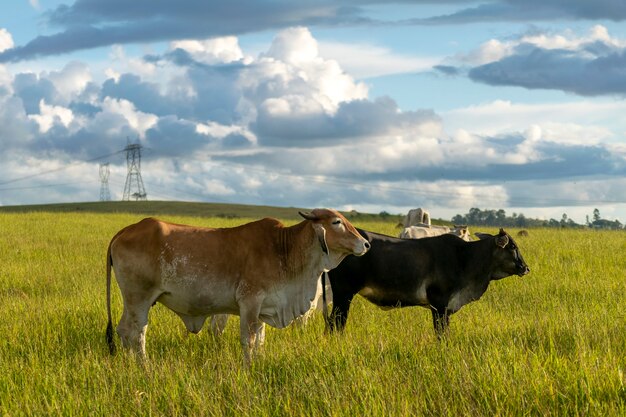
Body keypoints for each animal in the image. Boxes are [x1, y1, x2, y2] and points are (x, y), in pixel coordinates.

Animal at [326, 226, 528, 336]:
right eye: (512, 246)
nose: (526, 268)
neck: (465, 258)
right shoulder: (439, 304)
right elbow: (441, 334)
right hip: (343, 294)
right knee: (336, 323)